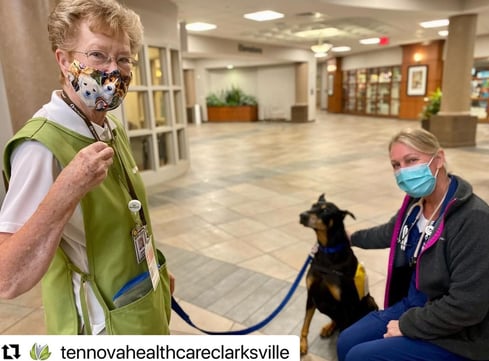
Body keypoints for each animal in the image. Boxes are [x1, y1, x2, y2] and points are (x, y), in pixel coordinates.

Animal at [298, 194, 378, 354]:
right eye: (312, 206)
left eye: (325, 211)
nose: (302, 216)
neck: (328, 250)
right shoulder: (312, 294)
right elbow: (306, 323)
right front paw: (302, 344)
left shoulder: (345, 305)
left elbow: (343, 335)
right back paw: (328, 328)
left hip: (370, 301)